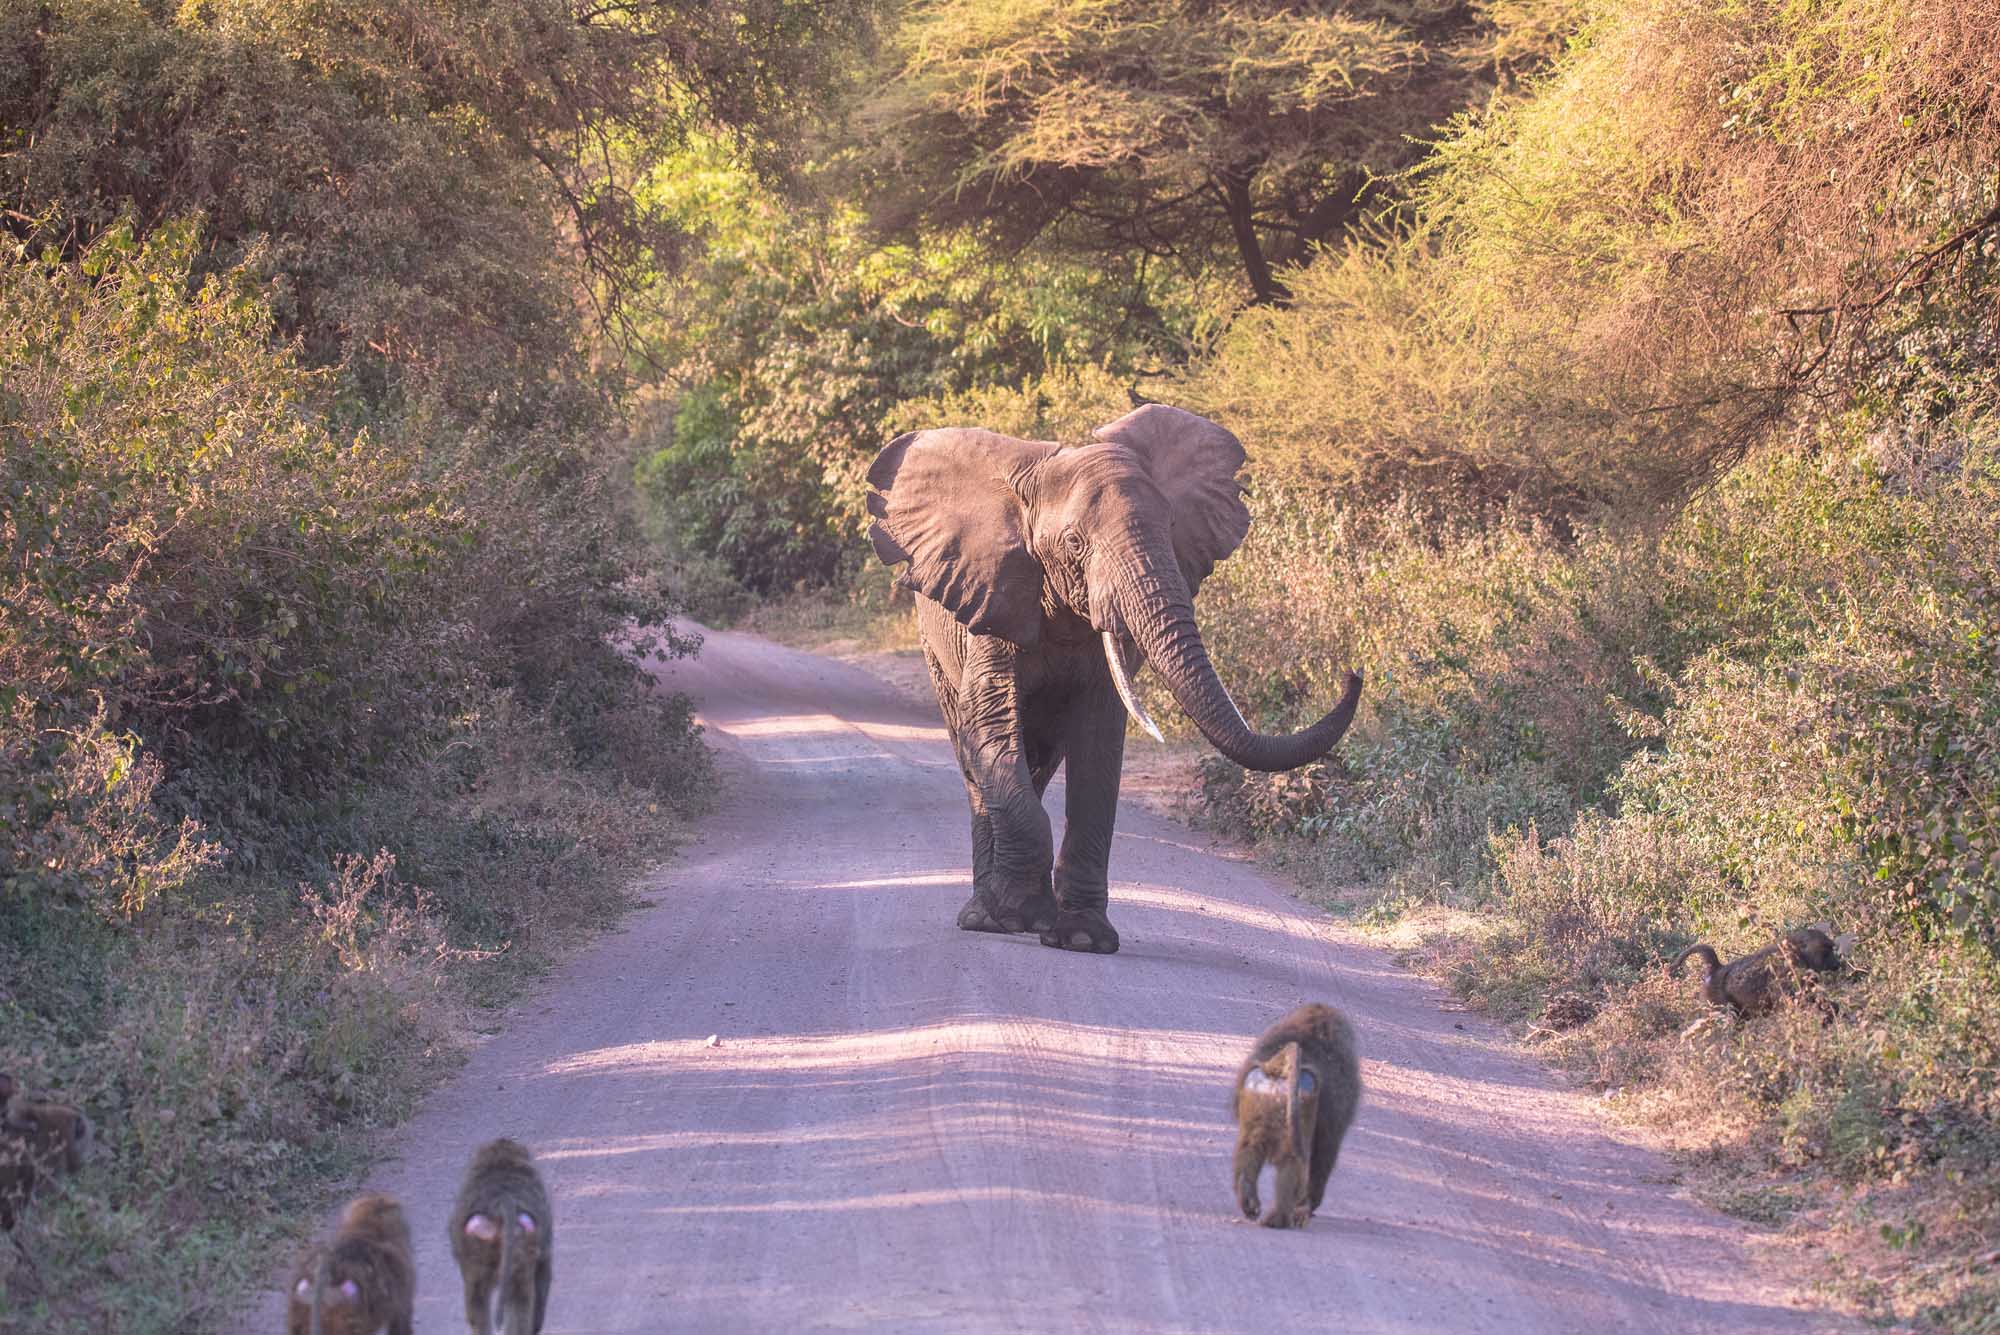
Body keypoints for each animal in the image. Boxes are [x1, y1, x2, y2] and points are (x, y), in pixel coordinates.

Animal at [866, 403, 1363, 955]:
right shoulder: (995, 599)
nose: (1354, 672)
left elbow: (1099, 737)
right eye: (1074, 543)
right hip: (936, 645)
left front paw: (1082, 939)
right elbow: (991, 719)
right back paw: (985, 917)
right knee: (976, 756)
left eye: (1171, 525)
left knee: (1040, 759)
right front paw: (1020, 916)